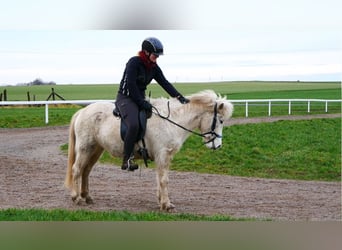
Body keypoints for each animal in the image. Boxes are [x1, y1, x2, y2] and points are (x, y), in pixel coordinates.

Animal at [65, 90, 232, 211]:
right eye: (220, 120)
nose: (217, 145)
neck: (172, 121)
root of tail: (83, 111)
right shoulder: (163, 155)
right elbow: (164, 180)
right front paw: (166, 204)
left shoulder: (163, 157)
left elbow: (160, 179)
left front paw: (161, 201)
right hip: (85, 148)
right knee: (77, 170)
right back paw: (77, 198)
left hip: (96, 150)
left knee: (86, 171)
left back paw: (86, 196)